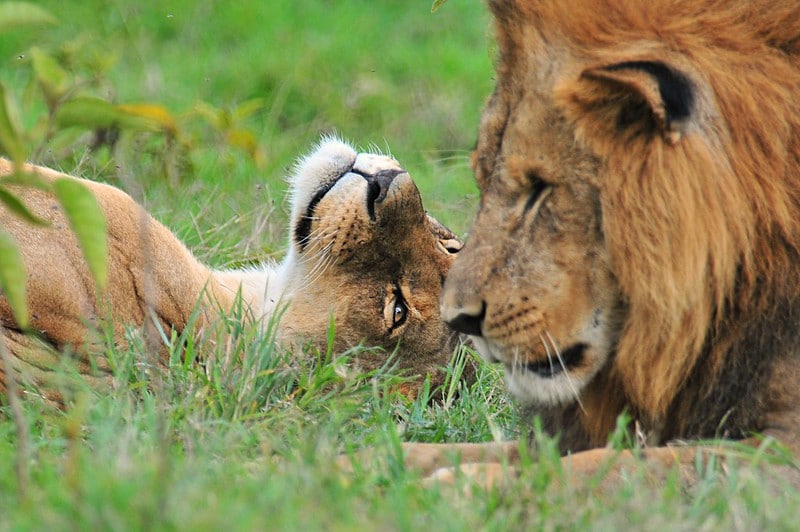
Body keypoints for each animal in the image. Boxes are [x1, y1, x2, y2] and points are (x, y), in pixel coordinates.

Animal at [404, 0, 800, 486]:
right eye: (481, 178)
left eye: (540, 189)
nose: (459, 320)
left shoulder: (783, 448)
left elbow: (613, 467)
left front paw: (463, 484)